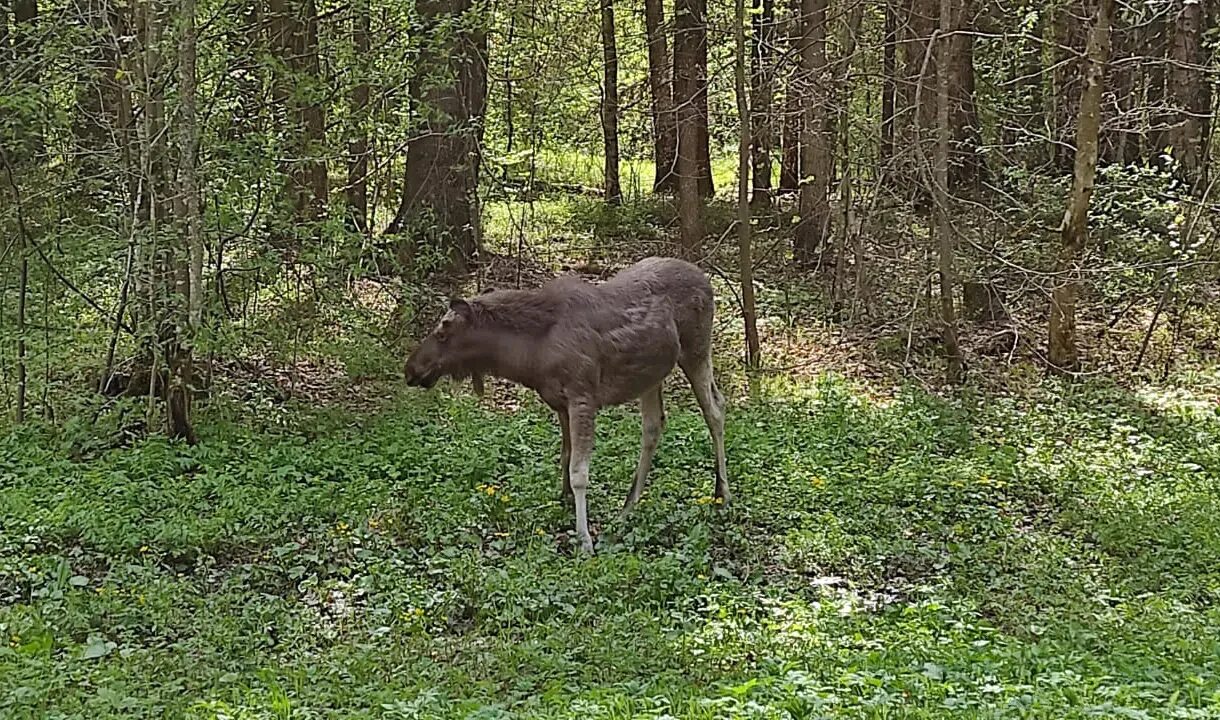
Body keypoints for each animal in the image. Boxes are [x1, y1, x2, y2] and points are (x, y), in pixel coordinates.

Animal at [400, 258, 727, 554]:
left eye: (443, 332)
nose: (410, 369)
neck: (531, 356)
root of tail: (707, 281)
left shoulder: (582, 397)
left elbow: (579, 472)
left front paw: (584, 540)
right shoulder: (559, 404)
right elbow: (565, 458)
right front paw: (566, 504)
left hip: (696, 350)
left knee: (715, 409)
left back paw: (722, 494)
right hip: (651, 375)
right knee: (653, 426)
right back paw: (626, 509)